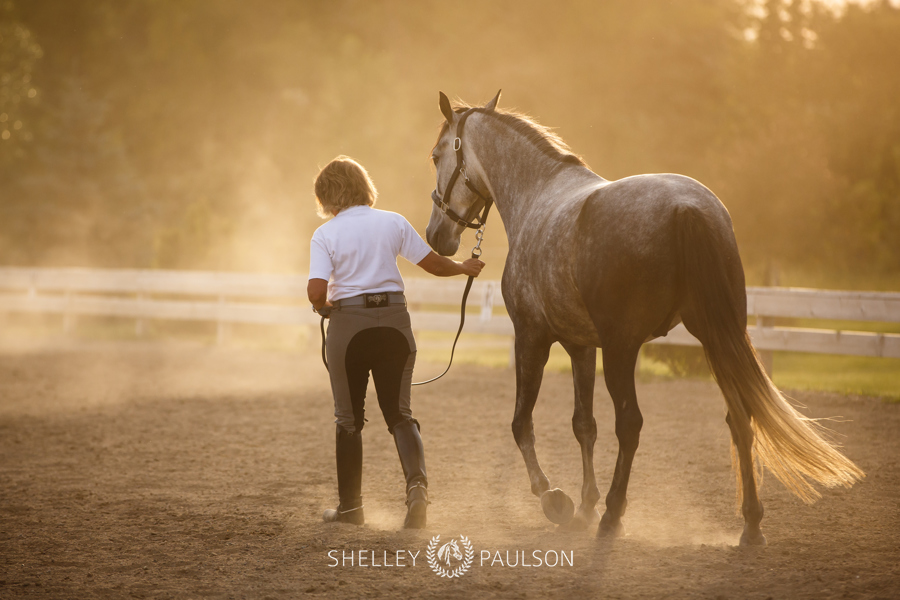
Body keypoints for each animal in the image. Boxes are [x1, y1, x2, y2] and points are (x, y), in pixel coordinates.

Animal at [428, 90, 864, 544]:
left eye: (436, 154)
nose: (436, 235)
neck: (538, 197)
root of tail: (687, 207)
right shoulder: (581, 345)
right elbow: (584, 424)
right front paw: (584, 506)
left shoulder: (532, 338)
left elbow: (522, 423)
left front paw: (556, 500)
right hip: (716, 339)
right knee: (740, 420)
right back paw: (750, 524)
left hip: (624, 350)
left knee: (631, 424)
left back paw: (613, 516)